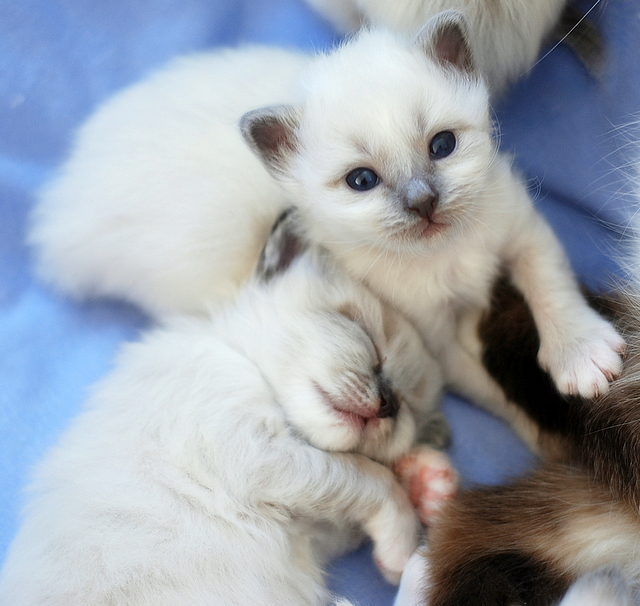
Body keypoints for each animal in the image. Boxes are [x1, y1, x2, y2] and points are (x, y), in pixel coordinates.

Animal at [0, 215, 452, 606]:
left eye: (408, 407)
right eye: (367, 337)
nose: (388, 403)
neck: (242, 360)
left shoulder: (304, 521)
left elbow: (360, 488)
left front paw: (425, 484)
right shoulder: (250, 451)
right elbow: (371, 480)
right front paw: (402, 536)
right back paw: (417, 559)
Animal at [27, 10, 624, 452]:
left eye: (443, 146)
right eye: (362, 180)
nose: (423, 202)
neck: (444, 251)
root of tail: (65, 192)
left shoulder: (519, 224)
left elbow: (550, 285)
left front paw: (582, 358)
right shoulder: (430, 333)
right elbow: (489, 389)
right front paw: (546, 435)